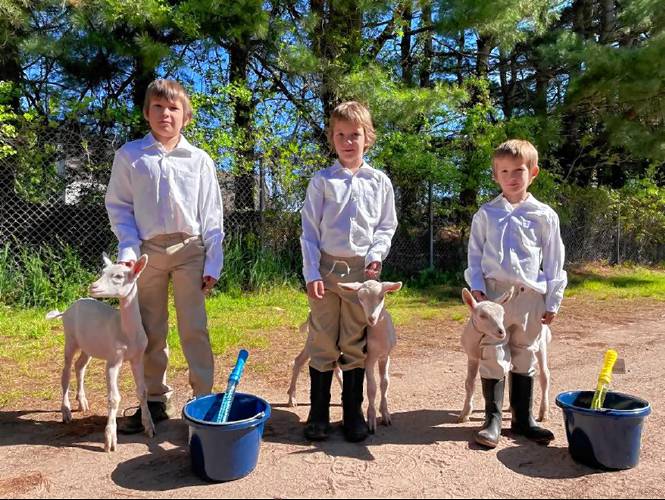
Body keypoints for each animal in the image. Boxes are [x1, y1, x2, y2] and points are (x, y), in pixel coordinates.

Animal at [47, 254, 156, 454]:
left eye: (119, 276)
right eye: (103, 271)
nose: (93, 286)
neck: (126, 332)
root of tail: (66, 311)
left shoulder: (137, 358)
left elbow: (143, 391)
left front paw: (149, 427)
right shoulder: (113, 360)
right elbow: (114, 398)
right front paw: (110, 440)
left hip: (88, 346)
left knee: (79, 366)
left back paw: (82, 402)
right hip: (70, 339)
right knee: (66, 371)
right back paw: (66, 411)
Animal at [284, 282, 400, 434]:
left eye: (381, 297)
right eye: (360, 298)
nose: (371, 318)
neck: (378, 334)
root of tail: (310, 315)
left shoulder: (385, 356)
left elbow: (385, 382)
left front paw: (385, 414)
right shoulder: (368, 359)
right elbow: (372, 387)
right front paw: (372, 419)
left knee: (336, 367)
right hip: (313, 339)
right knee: (299, 361)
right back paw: (291, 398)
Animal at [460, 288, 552, 424]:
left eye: (502, 314)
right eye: (482, 315)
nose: (501, 332)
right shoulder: (472, 355)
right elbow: (470, 383)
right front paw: (465, 413)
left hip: (540, 342)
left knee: (545, 375)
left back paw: (543, 412)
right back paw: (511, 406)